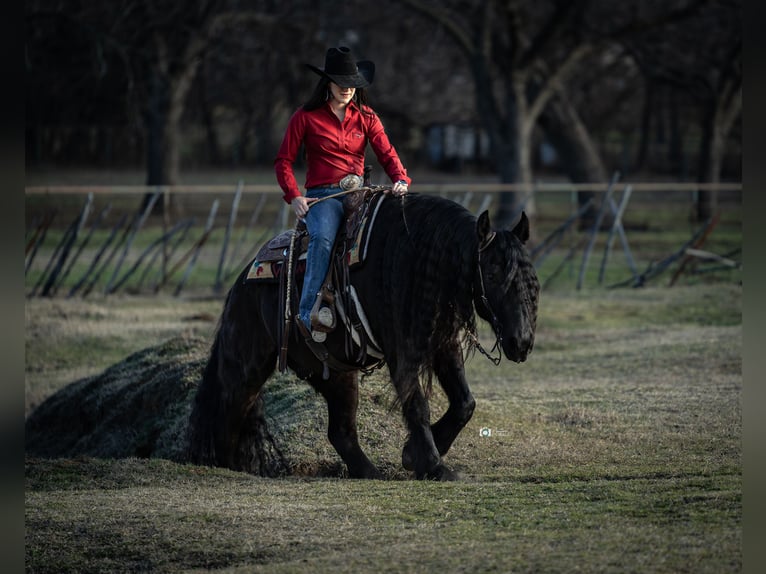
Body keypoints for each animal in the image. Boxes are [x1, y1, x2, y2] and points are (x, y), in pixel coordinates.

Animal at [189, 194, 544, 482]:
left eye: (532, 278)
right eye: (494, 273)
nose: (522, 342)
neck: (417, 261)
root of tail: (243, 280)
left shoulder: (444, 344)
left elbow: (465, 403)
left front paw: (414, 455)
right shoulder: (402, 351)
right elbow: (417, 406)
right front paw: (433, 465)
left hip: (335, 374)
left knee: (340, 432)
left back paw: (369, 471)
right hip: (245, 368)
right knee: (228, 412)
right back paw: (228, 465)